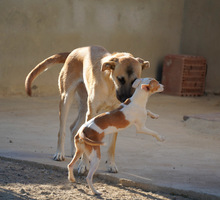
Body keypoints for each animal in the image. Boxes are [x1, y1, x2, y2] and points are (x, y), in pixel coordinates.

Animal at [24, 45, 150, 173]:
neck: (110, 85)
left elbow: (111, 146)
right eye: (120, 79)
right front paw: (83, 165)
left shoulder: (115, 116)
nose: (126, 100)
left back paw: (76, 153)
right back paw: (59, 153)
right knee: (62, 130)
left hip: (84, 107)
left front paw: (111, 164)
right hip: (67, 99)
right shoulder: (91, 112)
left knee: (73, 128)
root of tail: (74, 51)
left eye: (135, 81)